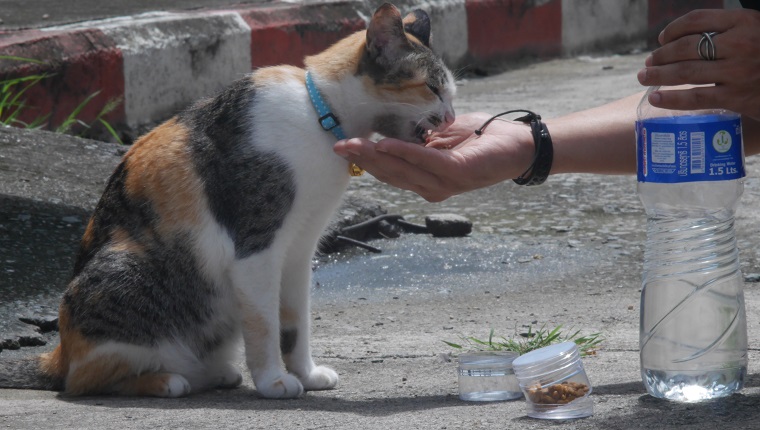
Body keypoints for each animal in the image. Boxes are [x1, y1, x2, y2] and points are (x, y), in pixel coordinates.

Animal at [0, 3, 452, 400]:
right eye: (432, 88)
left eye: (449, 92)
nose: (450, 116)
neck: (320, 113)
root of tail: (59, 351)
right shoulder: (256, 247)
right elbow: (265, 324)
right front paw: (273, 381)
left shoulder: (300, 248)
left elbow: (295, 321)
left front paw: (305, 374)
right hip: (126, 270)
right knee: (83, 380)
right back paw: (164, 380)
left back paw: (214, 373)